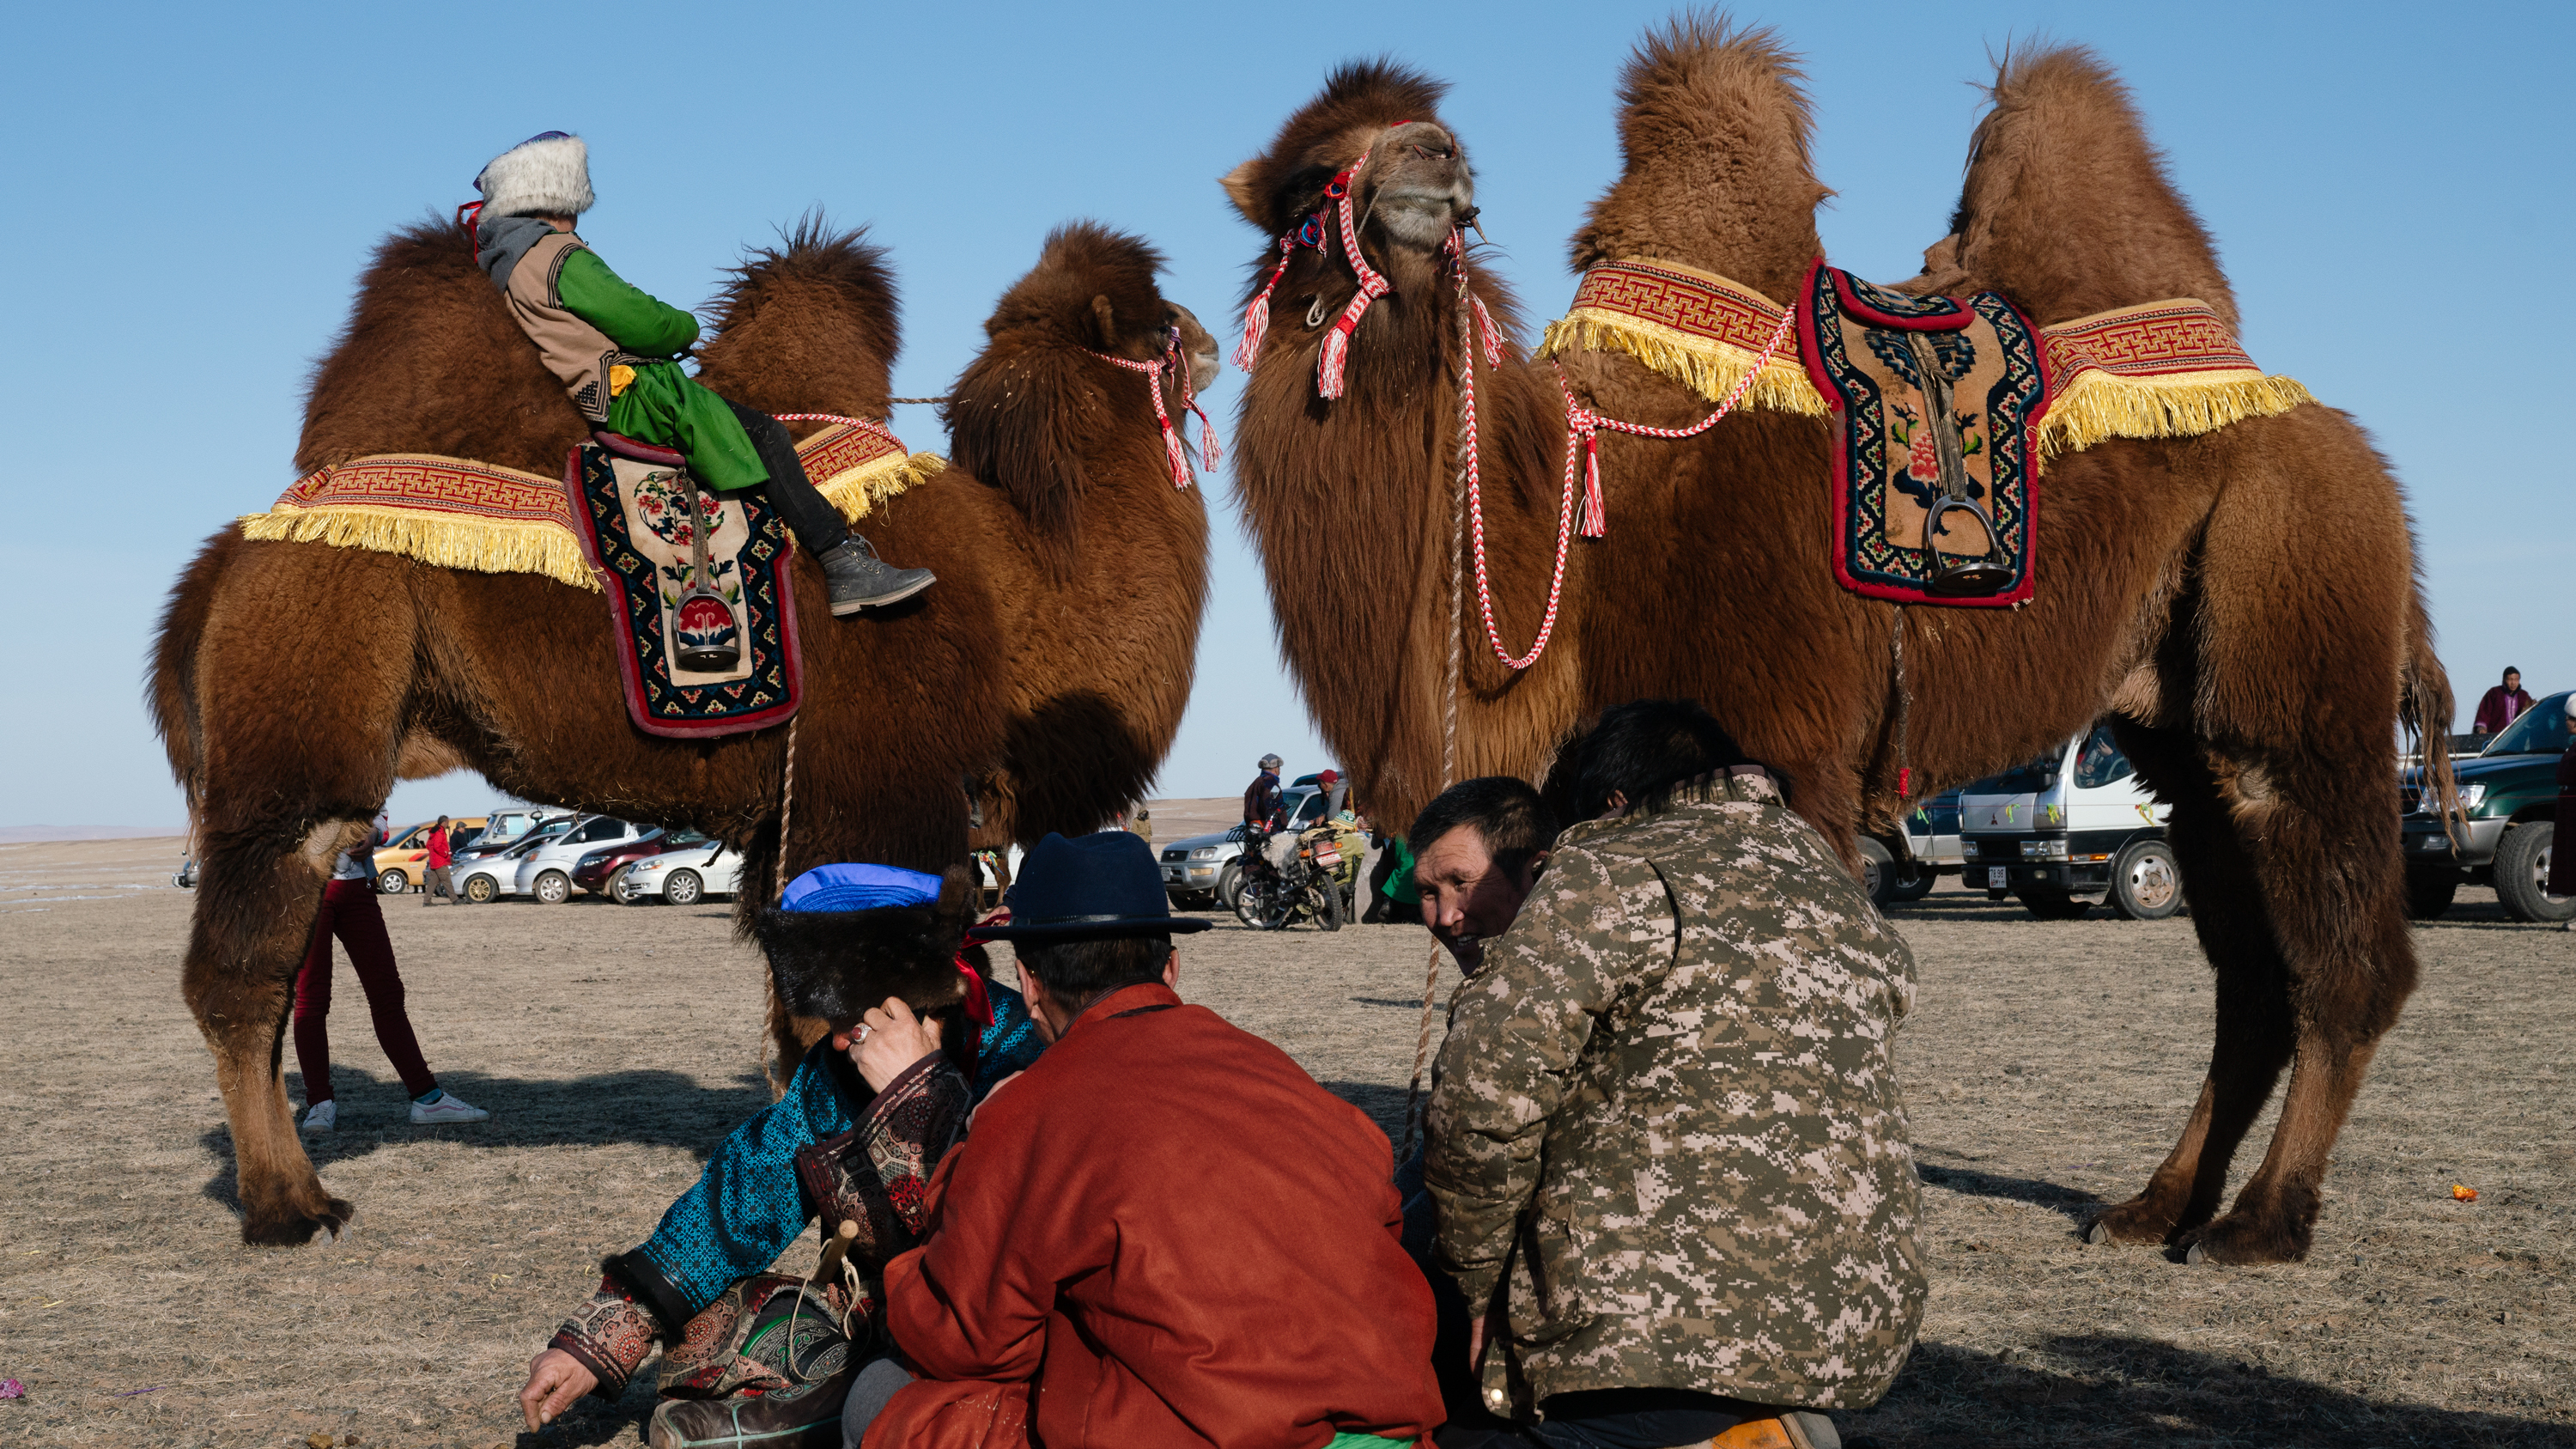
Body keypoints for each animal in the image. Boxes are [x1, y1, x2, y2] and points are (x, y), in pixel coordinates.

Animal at [153, 220, 1216, 1237]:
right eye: (1155, 319)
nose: (1205, 341)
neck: (1015, 584)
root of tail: (229, 557)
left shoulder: (787, 829)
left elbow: (797, 1029)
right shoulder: (870, 798)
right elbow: (876, 1001)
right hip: (299, 733)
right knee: (243, 974)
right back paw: (290, 1207)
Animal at [1226, 25, 2452, 1263]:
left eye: (1438, 151)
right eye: (1307, 183)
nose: (1432, 158)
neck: (1586, 509)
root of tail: (2361, 456)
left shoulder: (1784, 739)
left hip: (2298, 623)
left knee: (2344, 951)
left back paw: (2263, 1221)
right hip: (2176, 725)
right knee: (2248, 972)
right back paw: (2155, 1206)